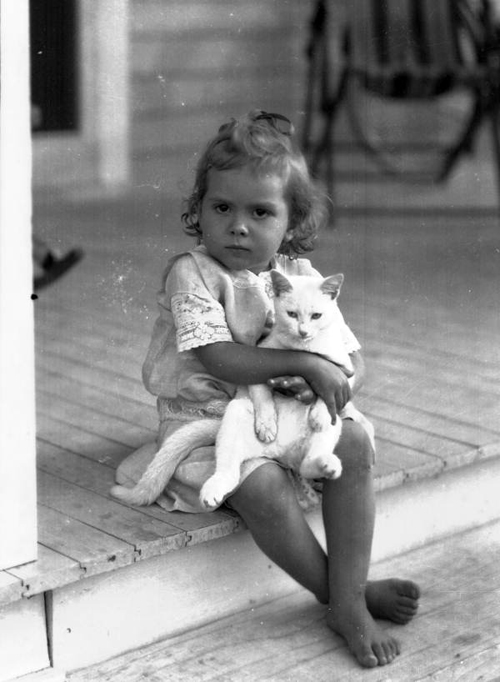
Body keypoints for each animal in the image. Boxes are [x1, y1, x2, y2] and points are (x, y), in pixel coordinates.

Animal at [110, 268, 376, 508]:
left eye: (317, 316)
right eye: (291, 314)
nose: (303, 331)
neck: (303, 350)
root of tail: (280, 454)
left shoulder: (344, 371)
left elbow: (328, 392)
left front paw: (319, 415)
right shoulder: (259, 368)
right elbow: (264, 397)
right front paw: (267, 426)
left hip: (334, 427)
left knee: (309, 462)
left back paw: (327, 464)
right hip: (236, 415)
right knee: (228, 472)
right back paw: (213, 492)